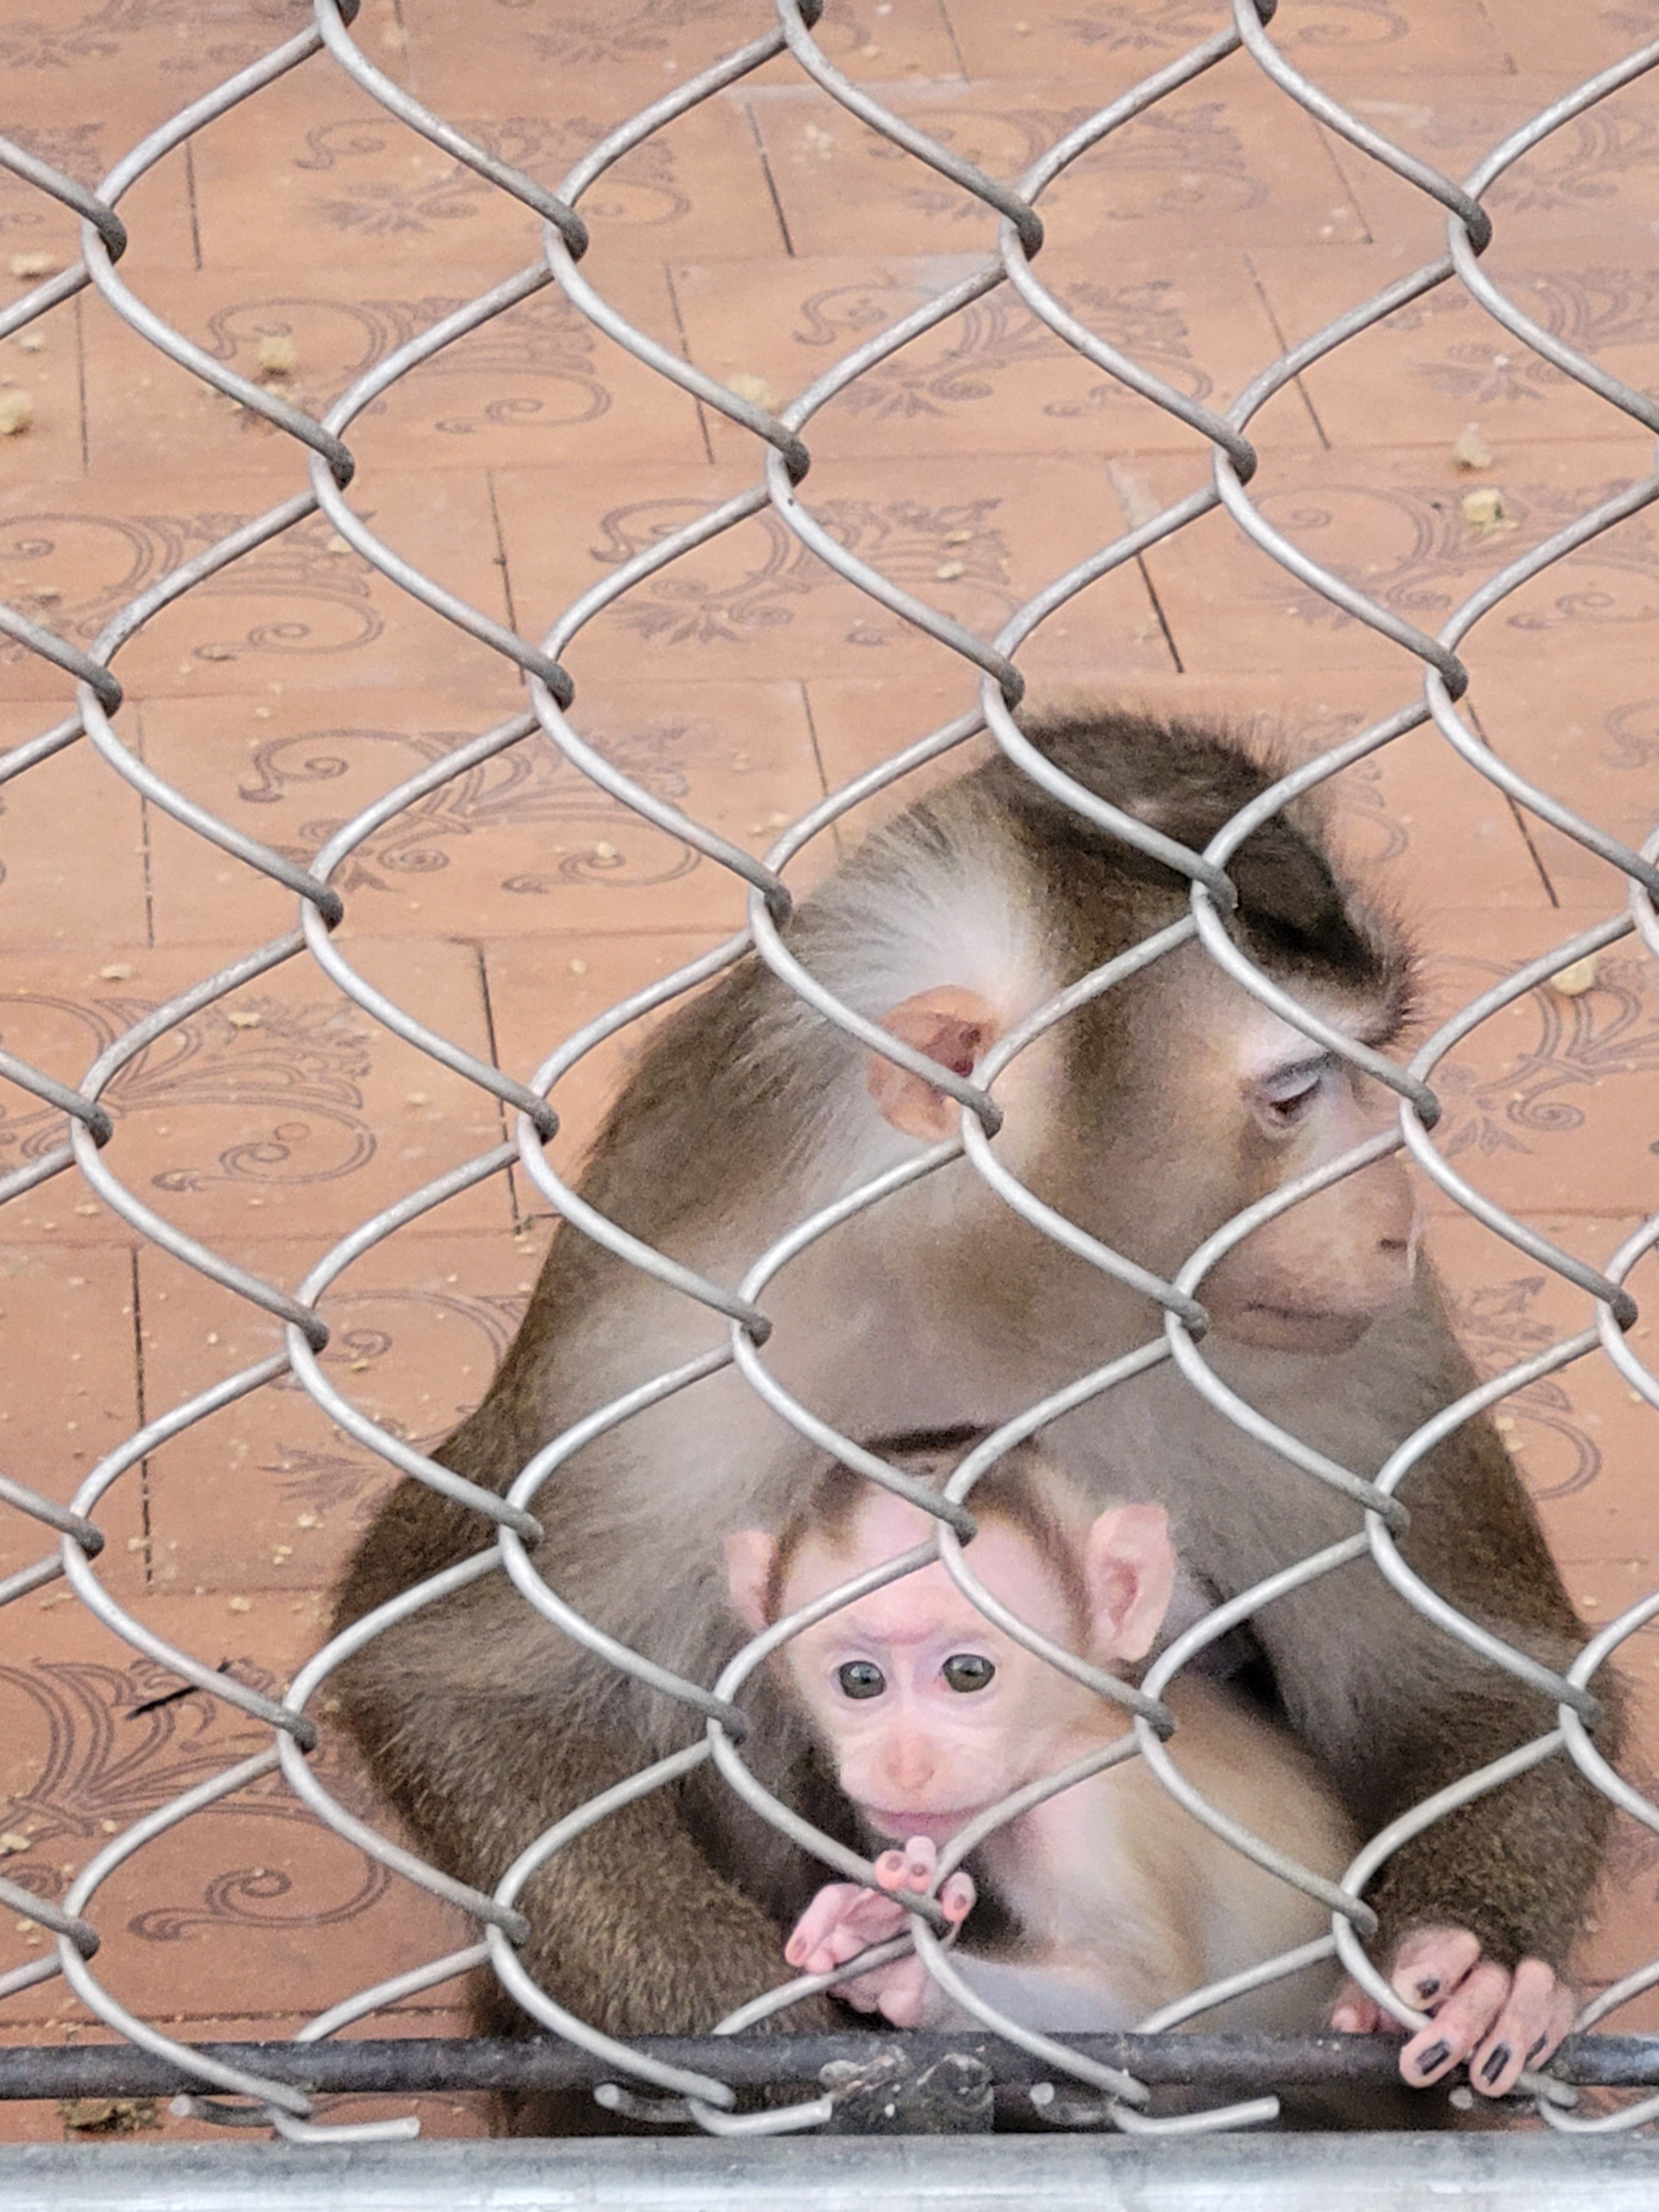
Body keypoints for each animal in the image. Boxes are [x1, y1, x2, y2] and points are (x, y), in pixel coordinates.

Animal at [726, 1447, 1359, 2043]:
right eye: (860, 1680)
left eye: (967, 1674)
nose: (904, 1767)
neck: (1068, 1737)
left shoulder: (1087, 1819)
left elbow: (1138, 2007)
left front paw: (907, 1971)